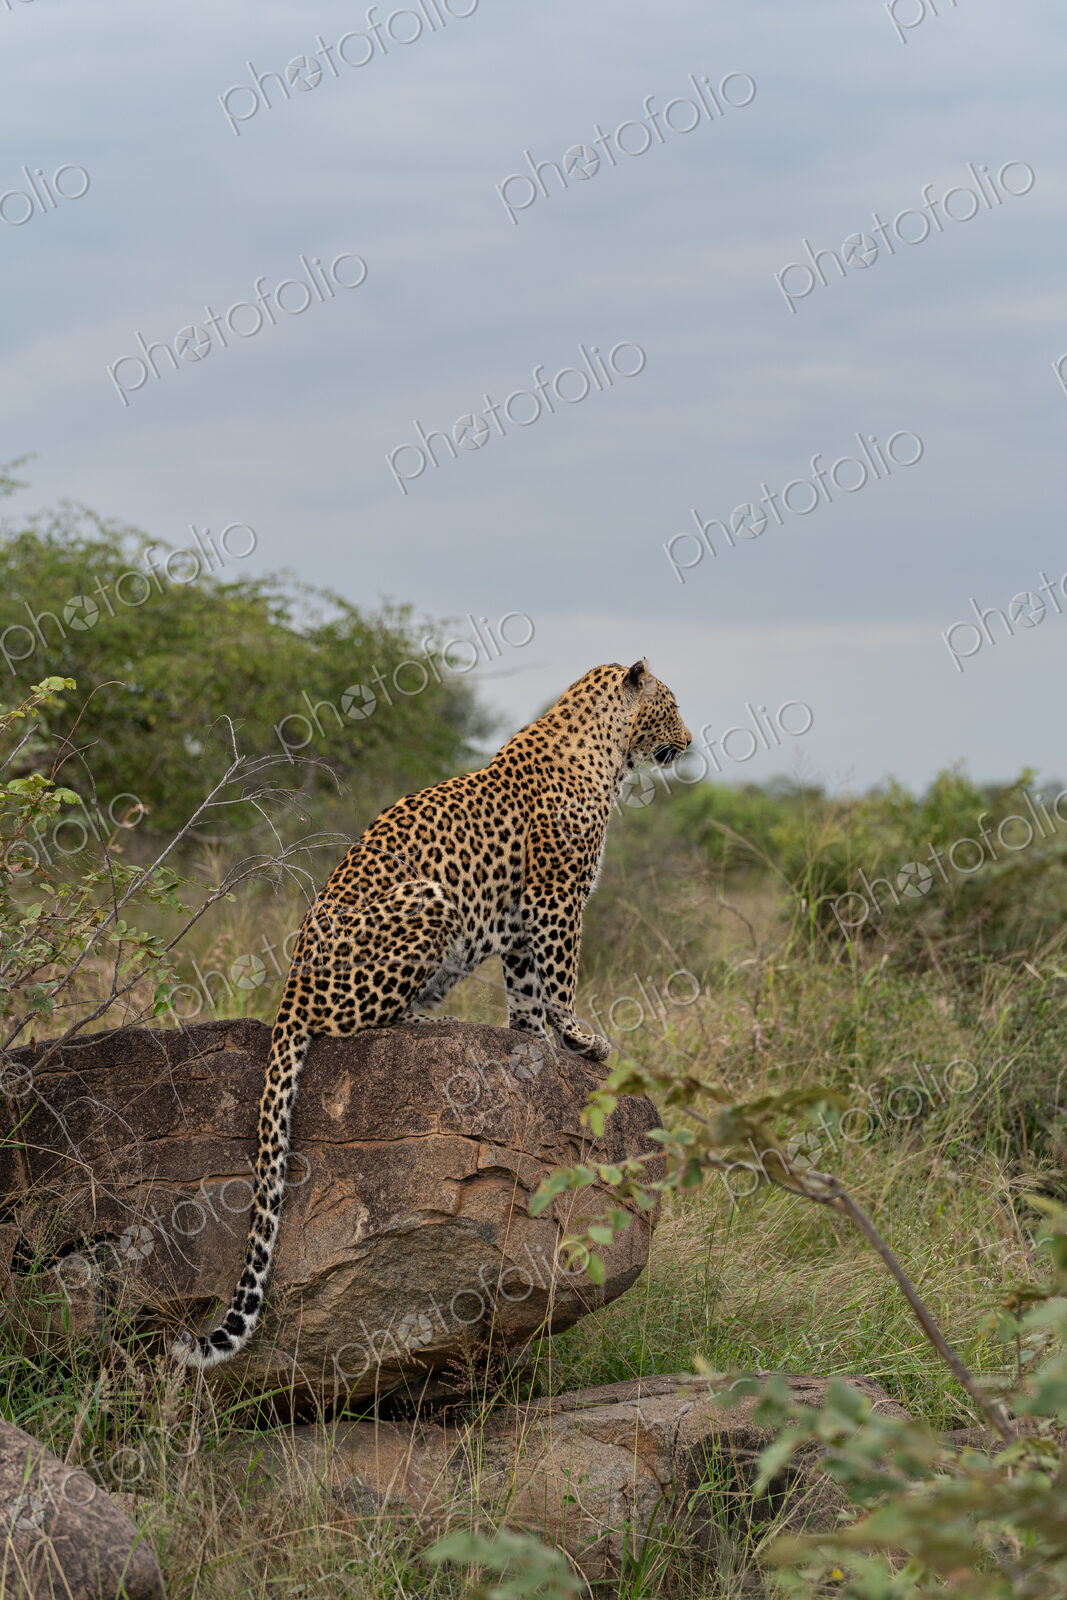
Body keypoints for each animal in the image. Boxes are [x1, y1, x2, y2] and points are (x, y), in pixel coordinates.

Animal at [171, 659, 691, 1369]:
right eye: (671, 704)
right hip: (431, 900)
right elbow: (560, 979)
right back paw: (429, 1025)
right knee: (349, 1025)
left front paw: (536, 1042)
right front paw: (581, 1038)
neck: (603, 751)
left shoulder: (521, 921)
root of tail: (291, 984)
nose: (689, 741)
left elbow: (528, 994)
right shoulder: (556, 898)